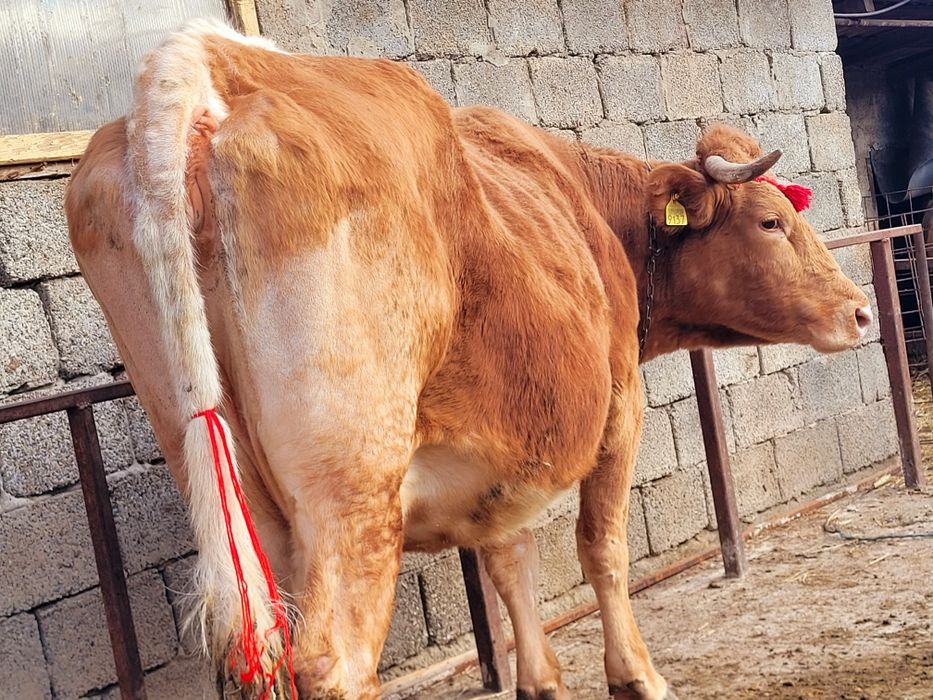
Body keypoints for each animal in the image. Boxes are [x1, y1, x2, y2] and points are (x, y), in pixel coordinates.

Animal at [65, 19, 872, 700]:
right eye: (771, 221)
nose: (859, 309)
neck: (585, 203)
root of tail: (211, 59)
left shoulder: (497, 448)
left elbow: (509, 556)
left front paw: (541, 681)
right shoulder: (619, 405)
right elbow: (601, 548)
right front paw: (637, 677)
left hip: (237, 492)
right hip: (350, 479)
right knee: (334, 658)